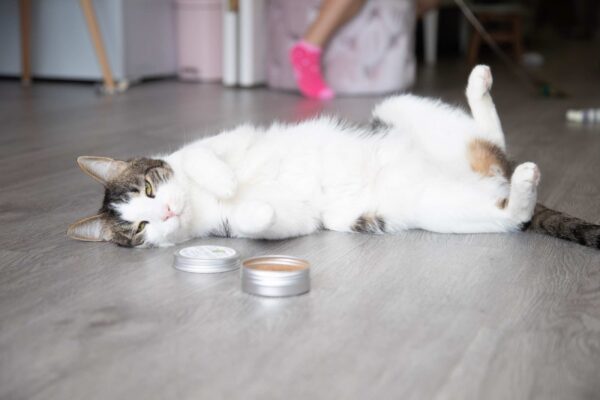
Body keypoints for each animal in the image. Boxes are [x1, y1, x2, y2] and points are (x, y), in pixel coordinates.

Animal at [67, 66, 600, 250]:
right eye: (140, 227)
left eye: (150, 188)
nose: (165, 212)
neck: (198, 206)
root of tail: (501, 178)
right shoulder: (288, 220)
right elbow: (262, 223)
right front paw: (249, 205)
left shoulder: (228, 138)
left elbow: (201, 154)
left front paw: (224, 181)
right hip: (440, 208)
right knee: (511, 213)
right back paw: (523, 187)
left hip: (397, 104)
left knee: (489, 139)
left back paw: (480, 82)